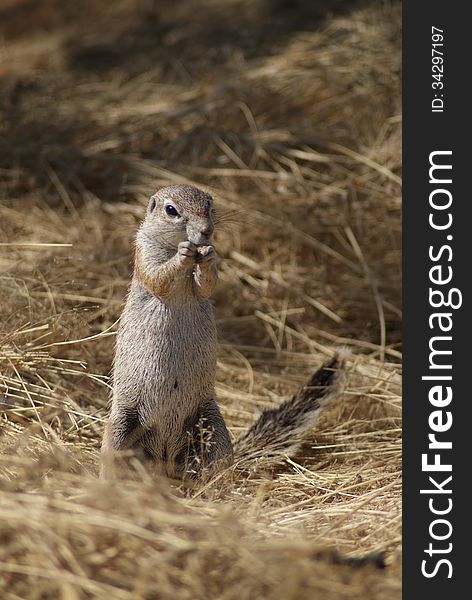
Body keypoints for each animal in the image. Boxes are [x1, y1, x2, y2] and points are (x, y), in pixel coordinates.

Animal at [101, 185, 344, 486]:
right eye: (171, 210)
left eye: (209, 203)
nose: (206, 231)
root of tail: (165, 460)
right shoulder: (144, 254)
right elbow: (159, 278)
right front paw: (182, 255)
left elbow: (208, 285)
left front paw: (206, 257)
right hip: (121, 429)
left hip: (212, 431)